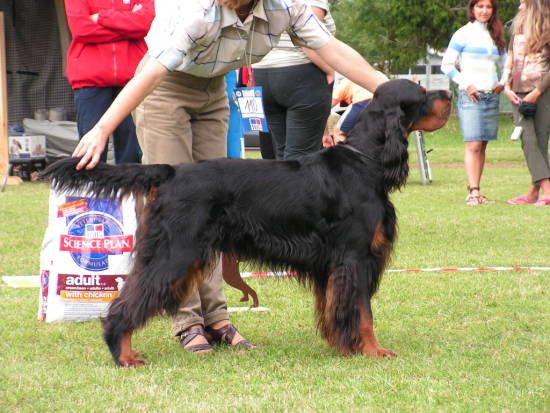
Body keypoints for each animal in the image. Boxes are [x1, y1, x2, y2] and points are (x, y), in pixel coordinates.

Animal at [42, 79, 452, 366]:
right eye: (421, 91)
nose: (449, 91)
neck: (365, 160)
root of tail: (172, 171)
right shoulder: (353, 257)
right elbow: (363, 313)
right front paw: (372, 350)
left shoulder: (332, 266)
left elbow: (337, 310)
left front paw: (343, 346)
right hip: (176, 252)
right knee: (126, 304)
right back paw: (124, 355)